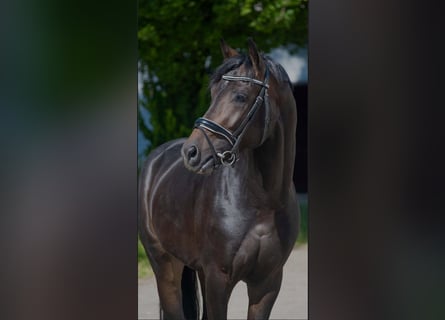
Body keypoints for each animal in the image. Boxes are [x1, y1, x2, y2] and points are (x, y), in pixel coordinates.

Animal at [139, 38, 298, 318]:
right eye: (213, 94)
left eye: (240, 96)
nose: (191, 152)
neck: (263, 201)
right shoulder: (218, 279)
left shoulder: (267, 284)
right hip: (165, 266)